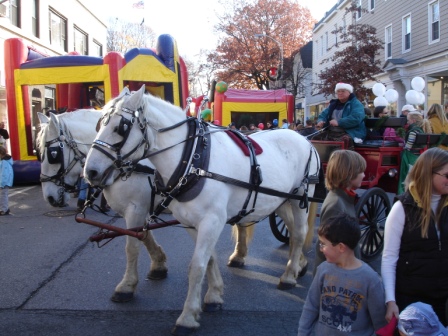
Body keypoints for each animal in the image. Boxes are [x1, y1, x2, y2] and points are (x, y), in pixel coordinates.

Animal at [35, 110, 168, 302]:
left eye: (53, 154)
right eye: (38, 153)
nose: (50, 197)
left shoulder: (135, 209)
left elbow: (132, 246)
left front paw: (126, 286)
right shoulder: (140, 208)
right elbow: (144, 236)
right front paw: (158, 264)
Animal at [84, 86, 318, 334]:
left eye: (121, 127)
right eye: (98, 125)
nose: (91, 172)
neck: (192, 160)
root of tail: (304, 139)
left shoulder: (203, 220)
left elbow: (195, 266)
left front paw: (187, 316)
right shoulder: (191, 222)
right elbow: (210, 258)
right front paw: (214, 295)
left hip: (300, 197)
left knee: (300, 233)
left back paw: (289, 276)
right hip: (279, 201)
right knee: (291, 230)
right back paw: (299, 264)